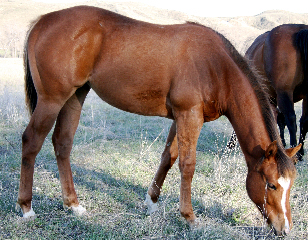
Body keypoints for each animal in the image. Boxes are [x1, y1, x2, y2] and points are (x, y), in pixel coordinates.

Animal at [18, 6, 300, 236]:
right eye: (272, 185)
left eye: (291, 186)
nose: (285, 229)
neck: (216, 66)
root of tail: (42, 21)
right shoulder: (189, 116)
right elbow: (187, 165)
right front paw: (189, 217)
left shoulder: (180, 117)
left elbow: (168, 157)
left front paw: (151, 201)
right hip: (52, 99)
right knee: (31, 141)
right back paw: (26, 208)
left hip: (75, 97)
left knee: (62, 143)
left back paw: (73, 205)